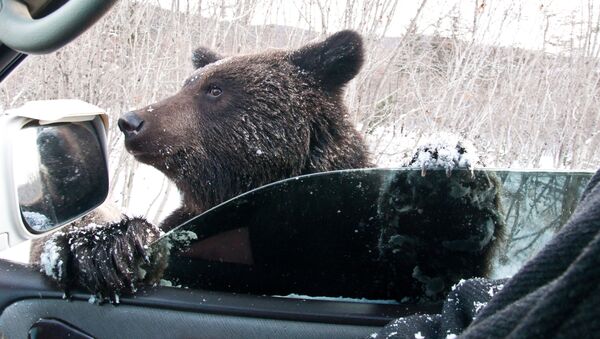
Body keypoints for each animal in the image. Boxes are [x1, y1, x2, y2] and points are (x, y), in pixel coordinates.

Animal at [32, 31, 502, 302]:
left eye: (215, 90)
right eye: (190, 84)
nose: (132, 121)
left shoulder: (345, 237)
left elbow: (432, 273)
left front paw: (443, 183)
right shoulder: (201, 234)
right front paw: (100, 247)